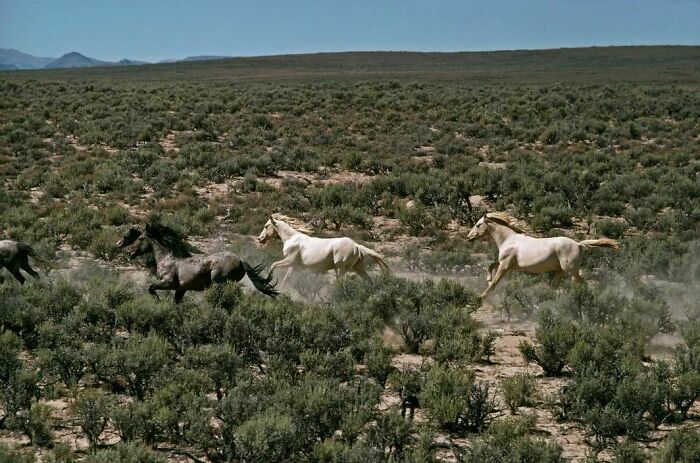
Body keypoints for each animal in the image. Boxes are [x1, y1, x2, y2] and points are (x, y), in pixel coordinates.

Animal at [117, 224, 278, 303]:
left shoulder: (168, 283)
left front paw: (157, 300)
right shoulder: (181, 289)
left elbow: (151, 288)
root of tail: (240, 260)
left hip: (219, 283)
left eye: (140, 238)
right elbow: (175, 303)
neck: (168, 258)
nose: (128, 252)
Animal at [257, 214, 390, 286]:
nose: (260, 239)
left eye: (266, 226)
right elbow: (286, 279)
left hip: (340, 268)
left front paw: (266, 281)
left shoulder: (290, 261)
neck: (292, 239)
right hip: (358, 267)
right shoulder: (294, 266)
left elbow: (273, 265)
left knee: (339, 283)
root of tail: (356, 246)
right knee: (368, 280)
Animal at [467, 212, 619, 299]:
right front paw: (487, 280)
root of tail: (578, 244)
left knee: (582, 284)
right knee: (555, 287)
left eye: (478, 224)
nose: (468, 237)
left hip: (571, 270)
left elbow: (495, 282)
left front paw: (481, 297)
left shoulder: (505, 266)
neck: (509, 239)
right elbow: (490, 266)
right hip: (560, 271)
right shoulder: (507, 264)